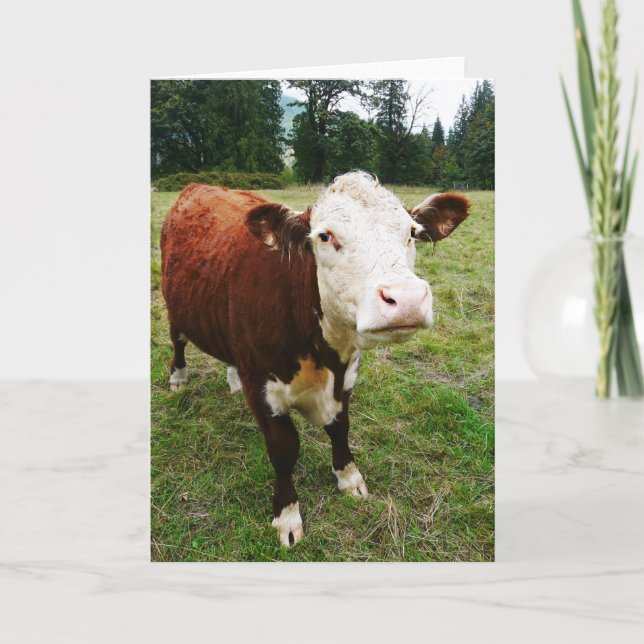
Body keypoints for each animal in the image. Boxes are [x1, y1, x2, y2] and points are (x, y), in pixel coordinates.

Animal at [160, 171, 470, 546]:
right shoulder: (262, 386)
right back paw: (178, 378)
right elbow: (284, 450)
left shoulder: (346, 377)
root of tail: (197, 186)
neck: (324, 356)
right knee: (177, 340)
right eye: (325, 236)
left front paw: (349, 477)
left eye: (411, 233)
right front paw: (287, 514)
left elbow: (340, 428)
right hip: (175, 305)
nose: (407, 299)